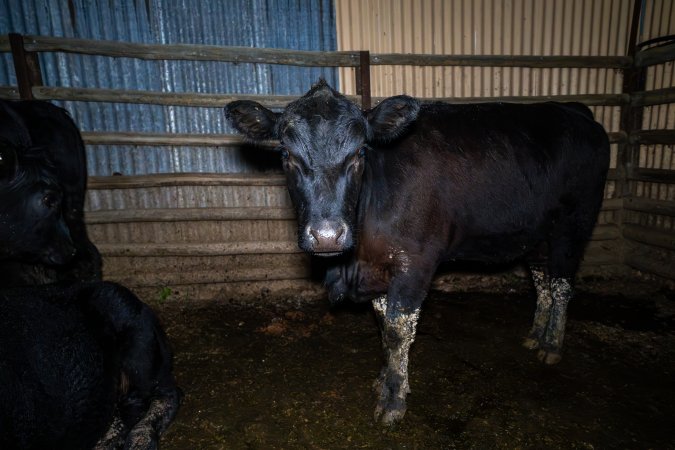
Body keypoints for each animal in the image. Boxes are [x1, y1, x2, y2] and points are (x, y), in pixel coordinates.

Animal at [228, 81, 612, 426]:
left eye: (360, 153)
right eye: (286, 155)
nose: (326, 236)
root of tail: (572, 109)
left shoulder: (415, 264)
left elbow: (398, 331)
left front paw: (393, 401)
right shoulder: (380, 267)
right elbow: (384, 328)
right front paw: (385, 380)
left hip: (573, 225)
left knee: (561, 285)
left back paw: (552, 344)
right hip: (538, 235)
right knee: (543, 282)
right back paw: (535, 335)